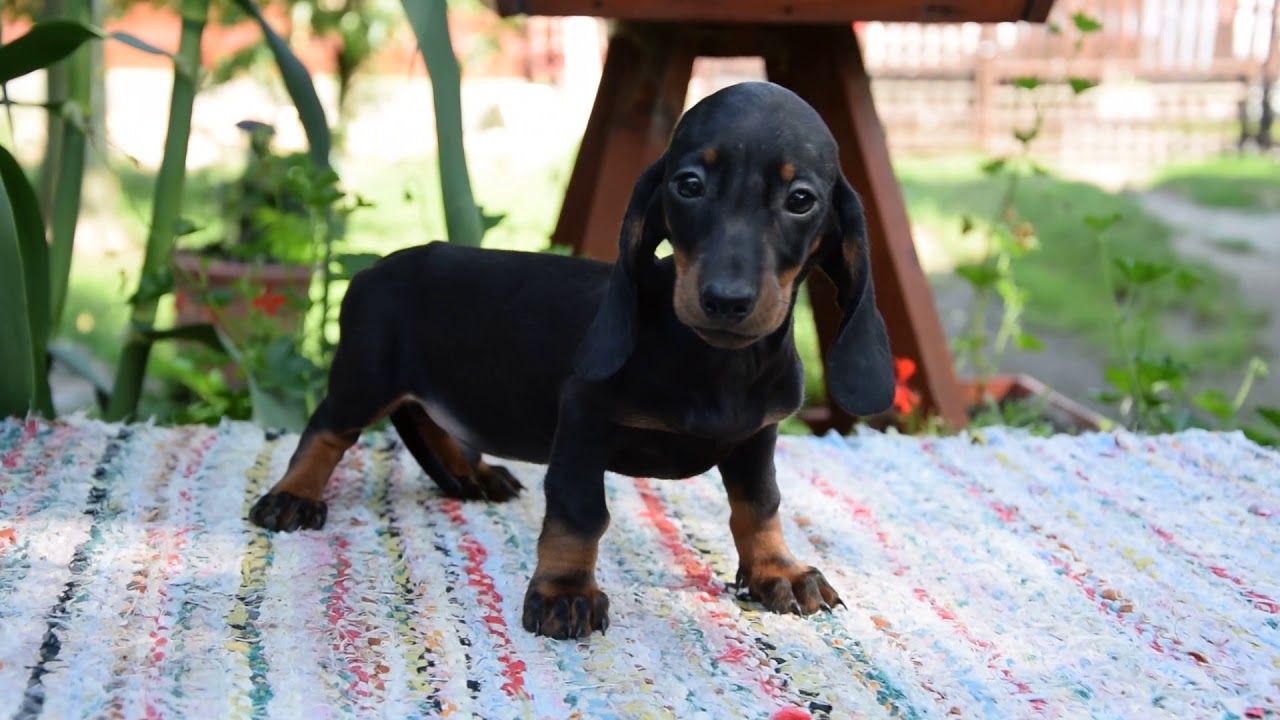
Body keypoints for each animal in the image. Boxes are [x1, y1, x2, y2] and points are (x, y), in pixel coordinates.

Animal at [247, 81, 890, 635]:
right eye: (688, 185)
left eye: (801, 200)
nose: (726, 300)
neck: (712, 362)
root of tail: (372, 267)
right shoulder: (582, 421)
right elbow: (580, 512)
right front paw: (564, 592)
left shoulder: (757, 437)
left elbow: (759, 507)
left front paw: (776, 571)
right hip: (365, 374)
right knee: (327, 429)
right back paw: (293, 495)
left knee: (428, 419)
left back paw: (471, 472)